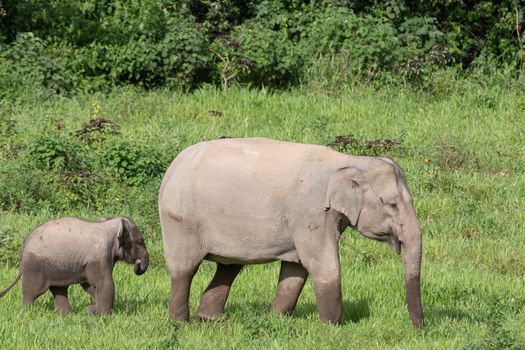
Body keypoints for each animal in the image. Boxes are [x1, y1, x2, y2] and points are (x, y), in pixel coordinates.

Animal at [0, 216, 148, 314]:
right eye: (140, 242)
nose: (138, 263)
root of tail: (24, 245)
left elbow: (90, 285)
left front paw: (93, 309)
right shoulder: (99, 257)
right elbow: (104, 284)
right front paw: (103, 314)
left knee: (59, 289)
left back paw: (65, 314)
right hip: (35, 265)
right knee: (33, 291)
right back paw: (27, 312)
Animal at [158, 137, 424, 328]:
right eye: (391, 204)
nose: (419, 329)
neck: (350, 161)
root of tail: (173, 166)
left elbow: (296, 268)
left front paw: (276, 319)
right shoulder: (310, 212)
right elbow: (321, 263)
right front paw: (331, 327)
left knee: (229, 267)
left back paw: (211, 319)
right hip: (180, 221)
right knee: (184, 270)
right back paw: (181, 324)